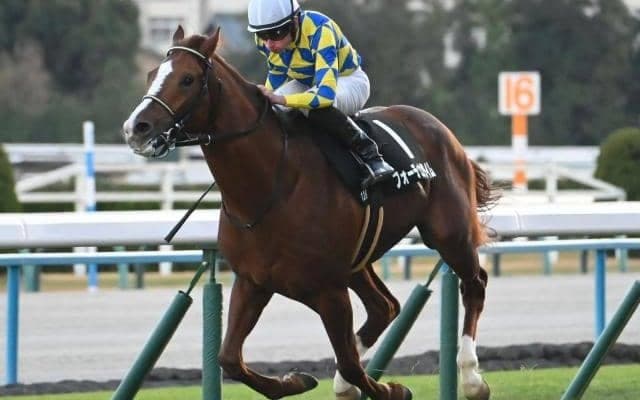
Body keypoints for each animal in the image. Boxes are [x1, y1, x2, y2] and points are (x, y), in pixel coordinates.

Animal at [122, 26, 497, 400]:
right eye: (151, 74)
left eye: (187, 79)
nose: (135, 127)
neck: (270, 187)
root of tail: (438, 127)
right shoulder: (252, 281)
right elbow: (229, 358)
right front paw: (295, 380)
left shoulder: (328, 290)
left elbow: (349, 362)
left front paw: (391, 389)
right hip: (358, 260)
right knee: (384, 307)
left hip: (448, 233)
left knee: (474, 284)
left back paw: (472, 379)